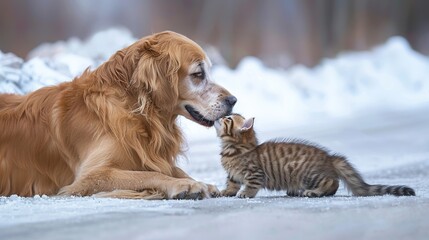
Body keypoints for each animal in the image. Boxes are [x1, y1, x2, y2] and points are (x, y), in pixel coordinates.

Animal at [0, 30, 236, 199]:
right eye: (198, 74)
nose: (233, 100)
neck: (134, 108)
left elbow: (171, 168)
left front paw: (201, 182)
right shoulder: (91, 176)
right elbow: (151, 174)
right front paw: (184, 185)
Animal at [214, 114, 414, 199]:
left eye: (229, 119)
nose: (220, 116)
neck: (233, 149)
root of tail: (330, 157)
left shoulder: (254, 174)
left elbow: (250, 186)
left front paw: (245, 194)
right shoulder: (232, 175)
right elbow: (231, 183)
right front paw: (226, 192)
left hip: (307, 173)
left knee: (332, 183)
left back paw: (313, 192)